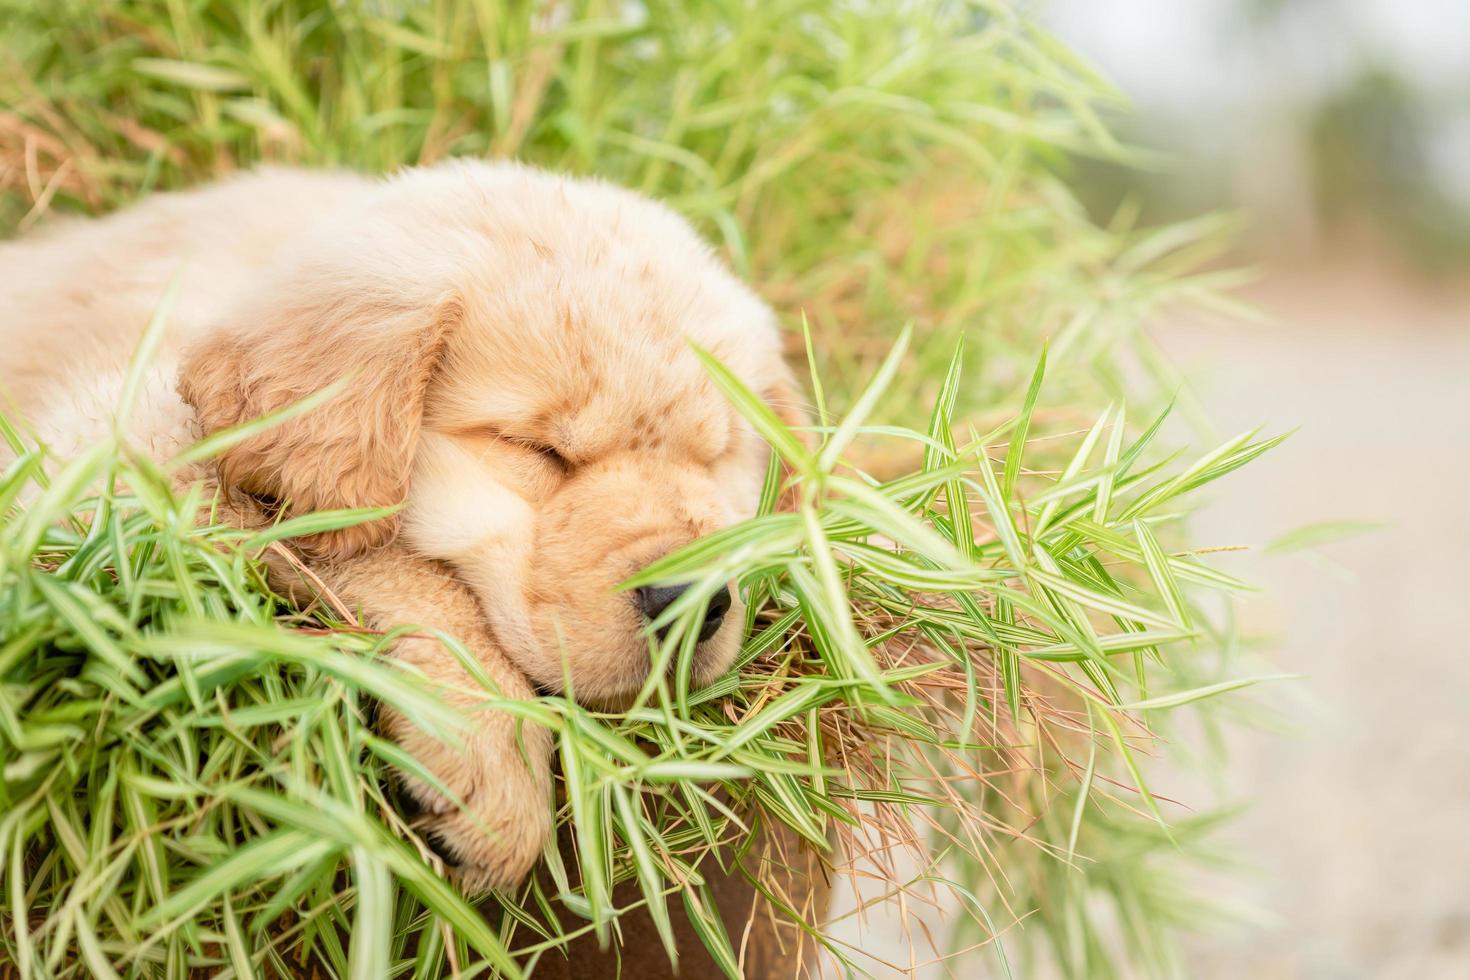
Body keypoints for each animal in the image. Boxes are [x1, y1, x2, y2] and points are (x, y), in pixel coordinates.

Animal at [0, 164, 805, 893]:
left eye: (716, 458)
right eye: (536, 449)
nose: (692, 603)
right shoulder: (98, 460)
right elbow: (383, 559)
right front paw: (493, 754)